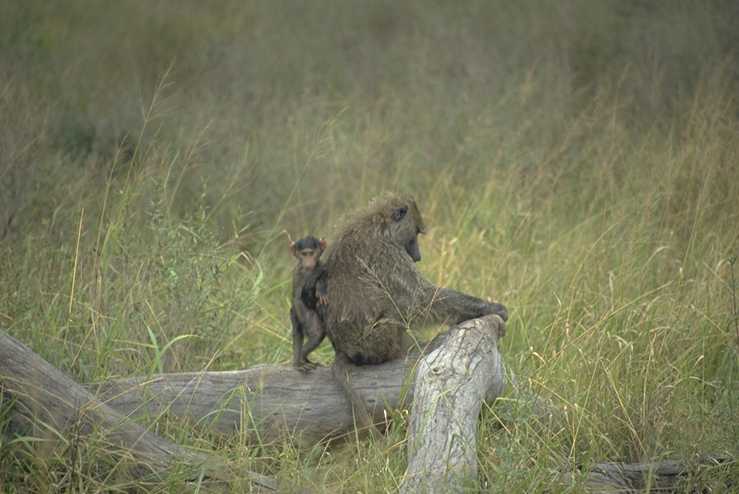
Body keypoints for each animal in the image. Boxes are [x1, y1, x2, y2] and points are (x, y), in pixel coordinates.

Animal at [289, 235, 329, 371]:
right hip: (298, 313)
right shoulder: (299, 273)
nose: (308, 261)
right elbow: (300, 295)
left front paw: (321, 286)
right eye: (304, 254)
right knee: (316, 333)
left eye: (311, 253)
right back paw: (301, 360)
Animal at [321, 194, 508, 434]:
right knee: (394, 309)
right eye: (417, 233)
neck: (379, 222)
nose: (418, 257)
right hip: (375, 343)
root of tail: (342, 349)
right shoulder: (389, 255)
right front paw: (492, 308)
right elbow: (420, 299)